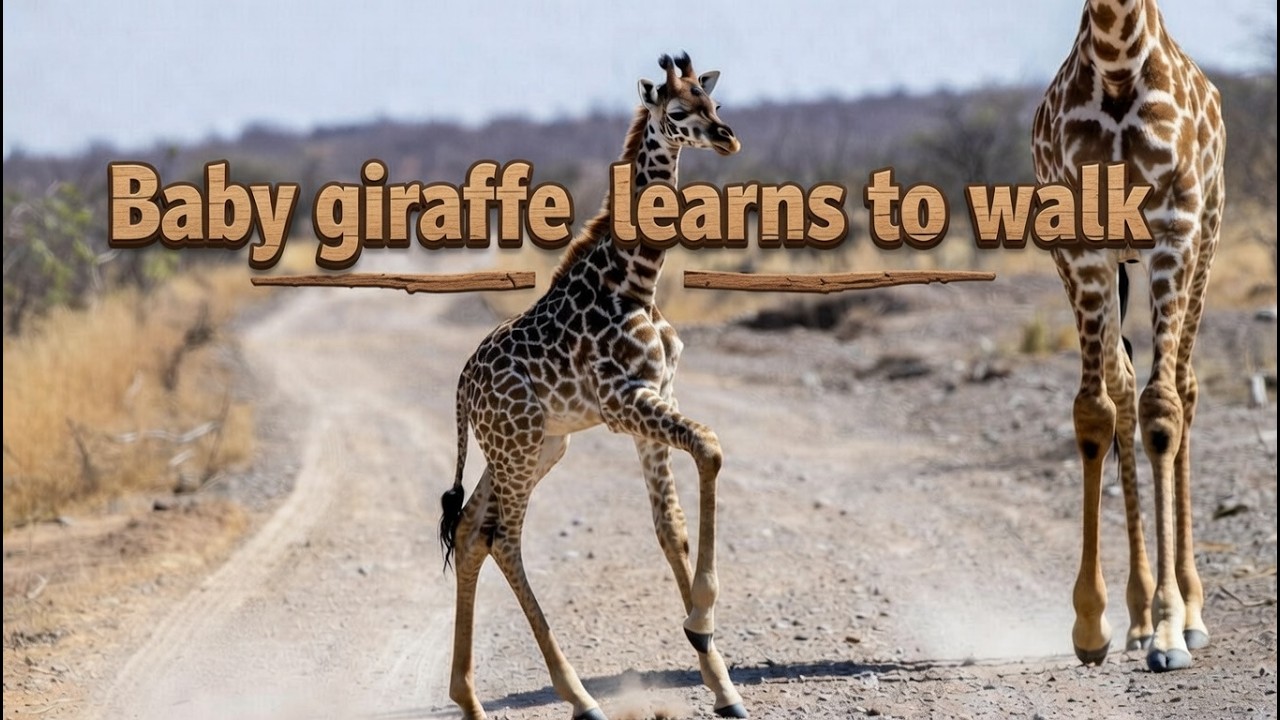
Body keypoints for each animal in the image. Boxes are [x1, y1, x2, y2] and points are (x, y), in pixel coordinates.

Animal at [438, 53, 746, 719]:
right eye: (677, 111)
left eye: (712, 102)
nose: (727, 137)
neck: (636, 282)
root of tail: (463, 387)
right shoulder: (622, 402)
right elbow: (711, 448)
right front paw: (702, 619)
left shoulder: (657, 397)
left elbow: (670, 526)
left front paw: (721, 680)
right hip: (520, 445)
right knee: (503, 537)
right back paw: (579, 696)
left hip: (537, 446)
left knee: (472, 531)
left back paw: (469, 699)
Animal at [1032, 0, 1225, 672]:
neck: (1117, 65)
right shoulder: (1079, 242)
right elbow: (1094, 411)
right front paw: (1094, 624)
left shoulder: (1174, 229)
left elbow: (1161, 412)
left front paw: (1171, 632)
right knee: (1121, 385)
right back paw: (1137, 618)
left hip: (1207, 237)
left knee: (1183, 388)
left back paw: (1189, 614)